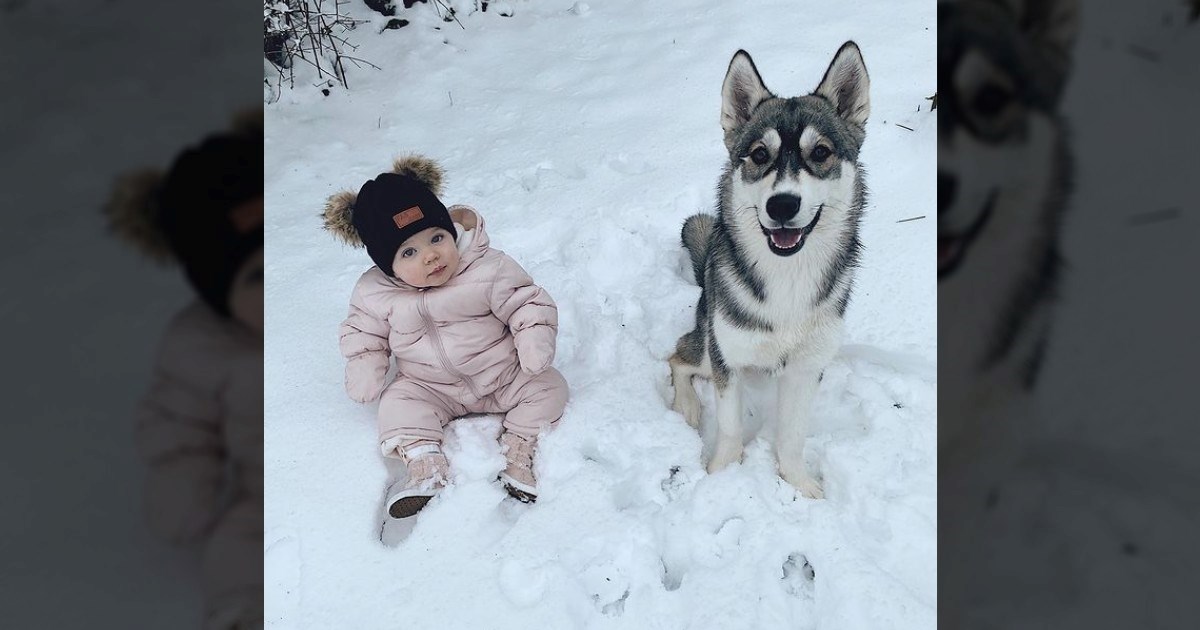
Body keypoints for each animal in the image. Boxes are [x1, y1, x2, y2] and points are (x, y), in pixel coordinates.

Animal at [667, 41, 873, 499]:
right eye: (760, 154)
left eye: (821, 153)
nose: (782, 205)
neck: (787, 277)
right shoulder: (727, 358)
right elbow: (728, 428)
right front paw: (722, 474)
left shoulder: (806, 367)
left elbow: (792, 435)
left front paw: (798, 483)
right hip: (709, 343)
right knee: (677, 356)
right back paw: (687, 407)